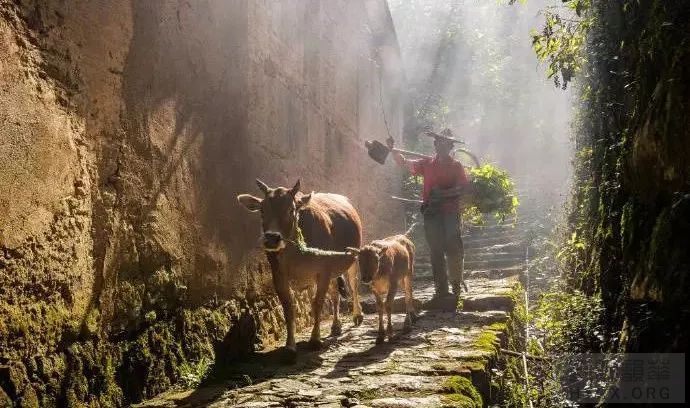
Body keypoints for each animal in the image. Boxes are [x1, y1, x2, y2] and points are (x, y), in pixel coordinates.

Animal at [236, 180, 362, 358]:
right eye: (262, 210)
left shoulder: (323, 270)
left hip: (353, 258)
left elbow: (317, 303)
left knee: (353, 285)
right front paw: (290, 347)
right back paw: (336, 325)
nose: (272, 239)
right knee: (334, 294)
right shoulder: (279, 275)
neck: (295, 252)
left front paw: (315, 340)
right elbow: (289, 308)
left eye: (291, 209)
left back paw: (357, 315)